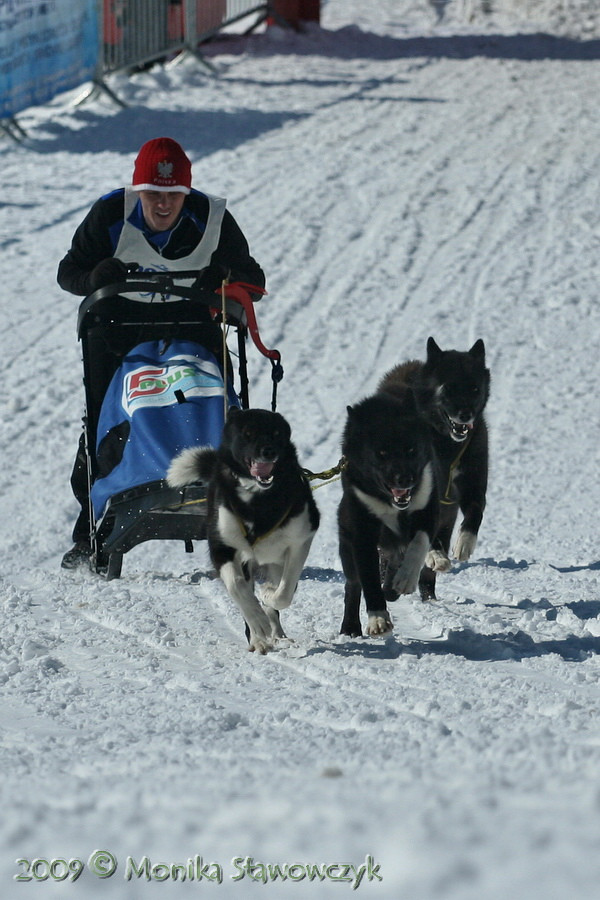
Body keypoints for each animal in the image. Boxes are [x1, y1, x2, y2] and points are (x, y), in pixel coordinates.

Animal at [166, 408, 322, 652]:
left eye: (276, 433)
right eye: (248, 433)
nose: (268, 451)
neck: (256, 497)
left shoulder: (300, 540)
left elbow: (284, 592)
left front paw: (268, 595)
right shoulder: (221, 546)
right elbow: (237, 587)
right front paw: (257, 622)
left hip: (275, 560)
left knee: (277, 594)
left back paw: (276, 629)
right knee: (246, 589)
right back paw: (259, 637)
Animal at [338, 390, 440, 636]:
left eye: (411, 450)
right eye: (381, 453)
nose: (404, 479)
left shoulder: (427, 508)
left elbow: (419, 543)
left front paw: (405, 579)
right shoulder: (362, 530)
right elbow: (369, 578)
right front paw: (378, 619)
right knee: (353, 583)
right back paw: (351, 626)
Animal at [382, 336, 490, 596]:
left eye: (475, 388)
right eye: (448, 388)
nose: (465, 414)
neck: (446, 444)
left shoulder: (473, 484)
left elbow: (476, 511)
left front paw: (464, 544)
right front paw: (434, 556)